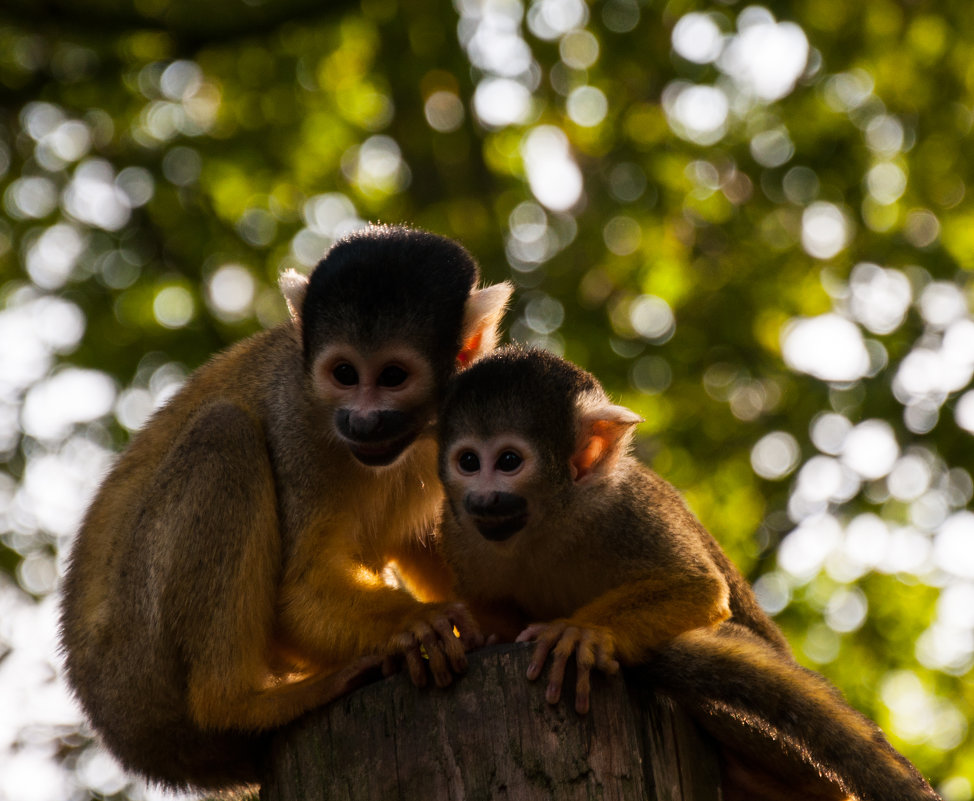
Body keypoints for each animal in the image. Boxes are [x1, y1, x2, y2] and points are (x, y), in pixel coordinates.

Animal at [59, 225, 520, 792]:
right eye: (344, 373)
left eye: (392, 376)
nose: (362, 421)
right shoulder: (297, 418)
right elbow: (296, 593)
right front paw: (418, 623)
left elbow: (426, 541)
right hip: (134, 656)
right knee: (224, 433)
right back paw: (238, 703)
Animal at [438, 346, 940, 800]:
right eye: (469, 462)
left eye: (508, 462)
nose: (483, 499)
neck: (549, 521)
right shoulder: (457, 532)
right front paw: (473, 638)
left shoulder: (625, 507)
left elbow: (699, 588)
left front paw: (582, 632)